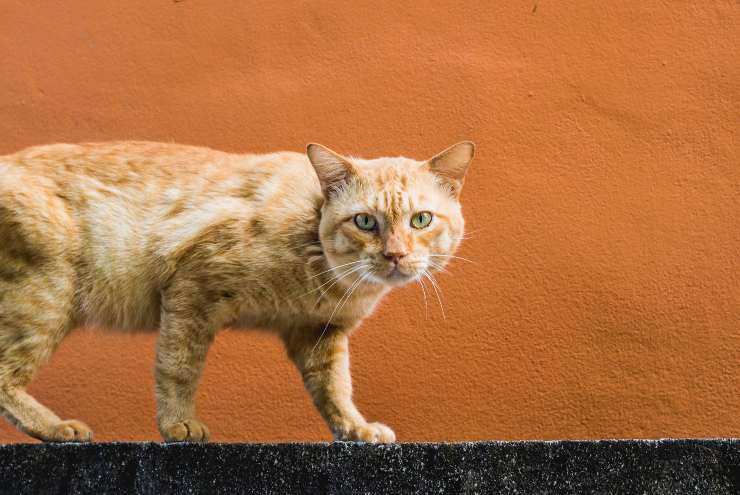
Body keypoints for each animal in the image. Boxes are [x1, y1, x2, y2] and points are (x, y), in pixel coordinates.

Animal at [0, 140, 474, 446]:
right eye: (365, 222)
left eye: (420, 219)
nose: (395, 255)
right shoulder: (192, 287)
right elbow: (178, 368)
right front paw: (178, 426)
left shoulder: (320, 333)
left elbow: (336, 388)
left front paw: (356, 429)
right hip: (46, 298)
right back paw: (57, 429)